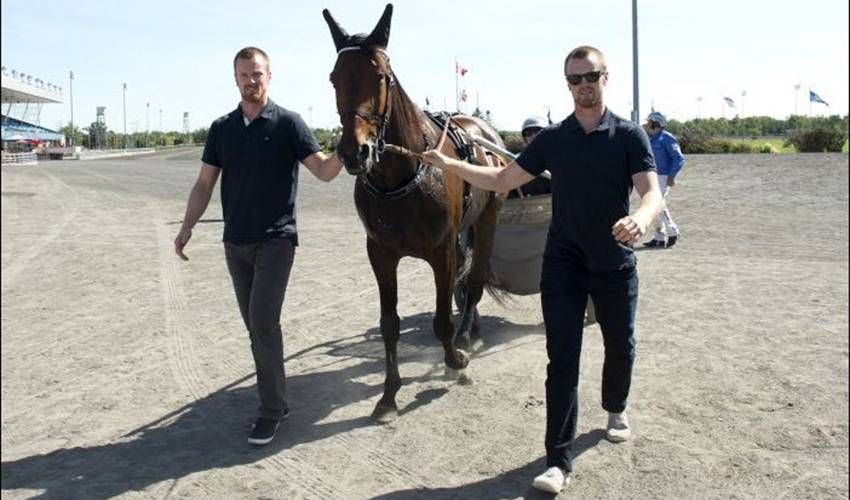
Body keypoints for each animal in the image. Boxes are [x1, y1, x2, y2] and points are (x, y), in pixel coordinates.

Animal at [323, 4, 508, 422]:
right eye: (334, 78)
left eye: (380, 76)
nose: (354, 152)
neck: (404, 174)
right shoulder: (380, 252)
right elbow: (389, 324)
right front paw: (389, 394)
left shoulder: (441, 251)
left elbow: (441, 318)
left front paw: (455, 360)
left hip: (488, 220)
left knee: (473, 282)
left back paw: (466, 335)